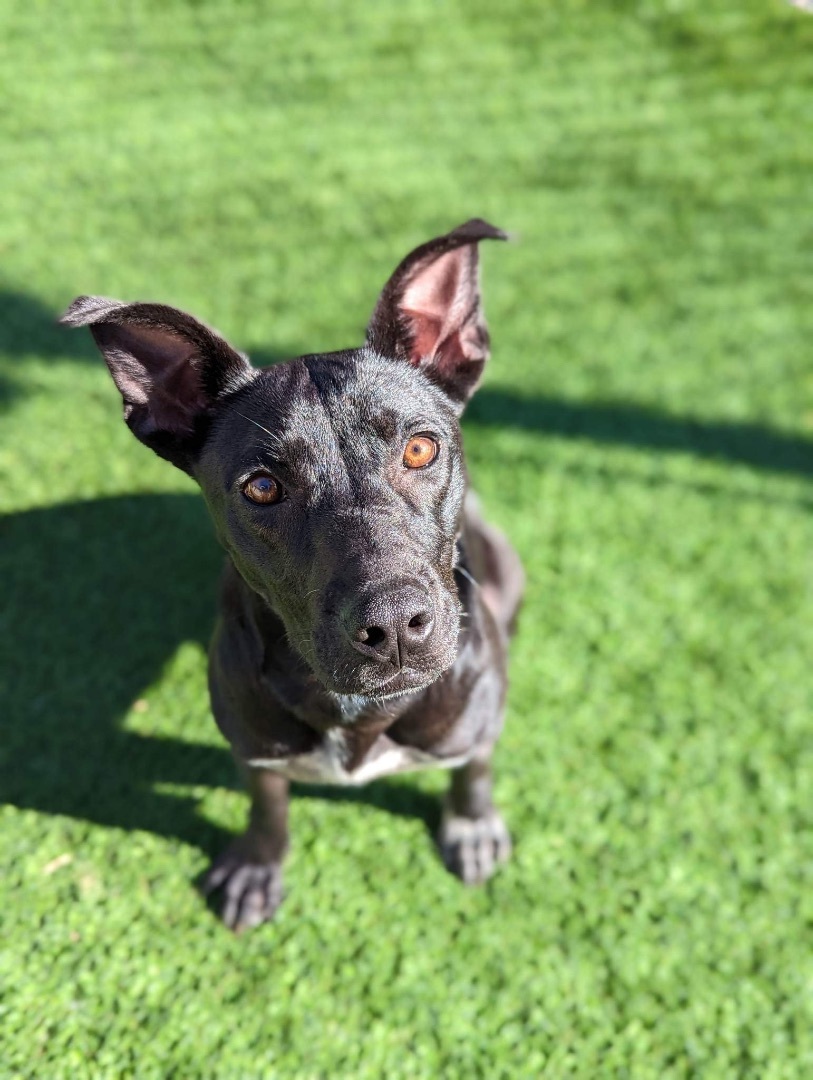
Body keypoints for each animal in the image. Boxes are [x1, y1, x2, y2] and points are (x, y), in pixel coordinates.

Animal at [61, 219, 520, 928]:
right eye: (263, 487)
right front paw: (257, 864)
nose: (394, 625)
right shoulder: (254, 747)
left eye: (420, 448)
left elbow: (474, 767)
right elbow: (268, 804)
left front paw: (471, 825)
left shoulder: (481, 717)